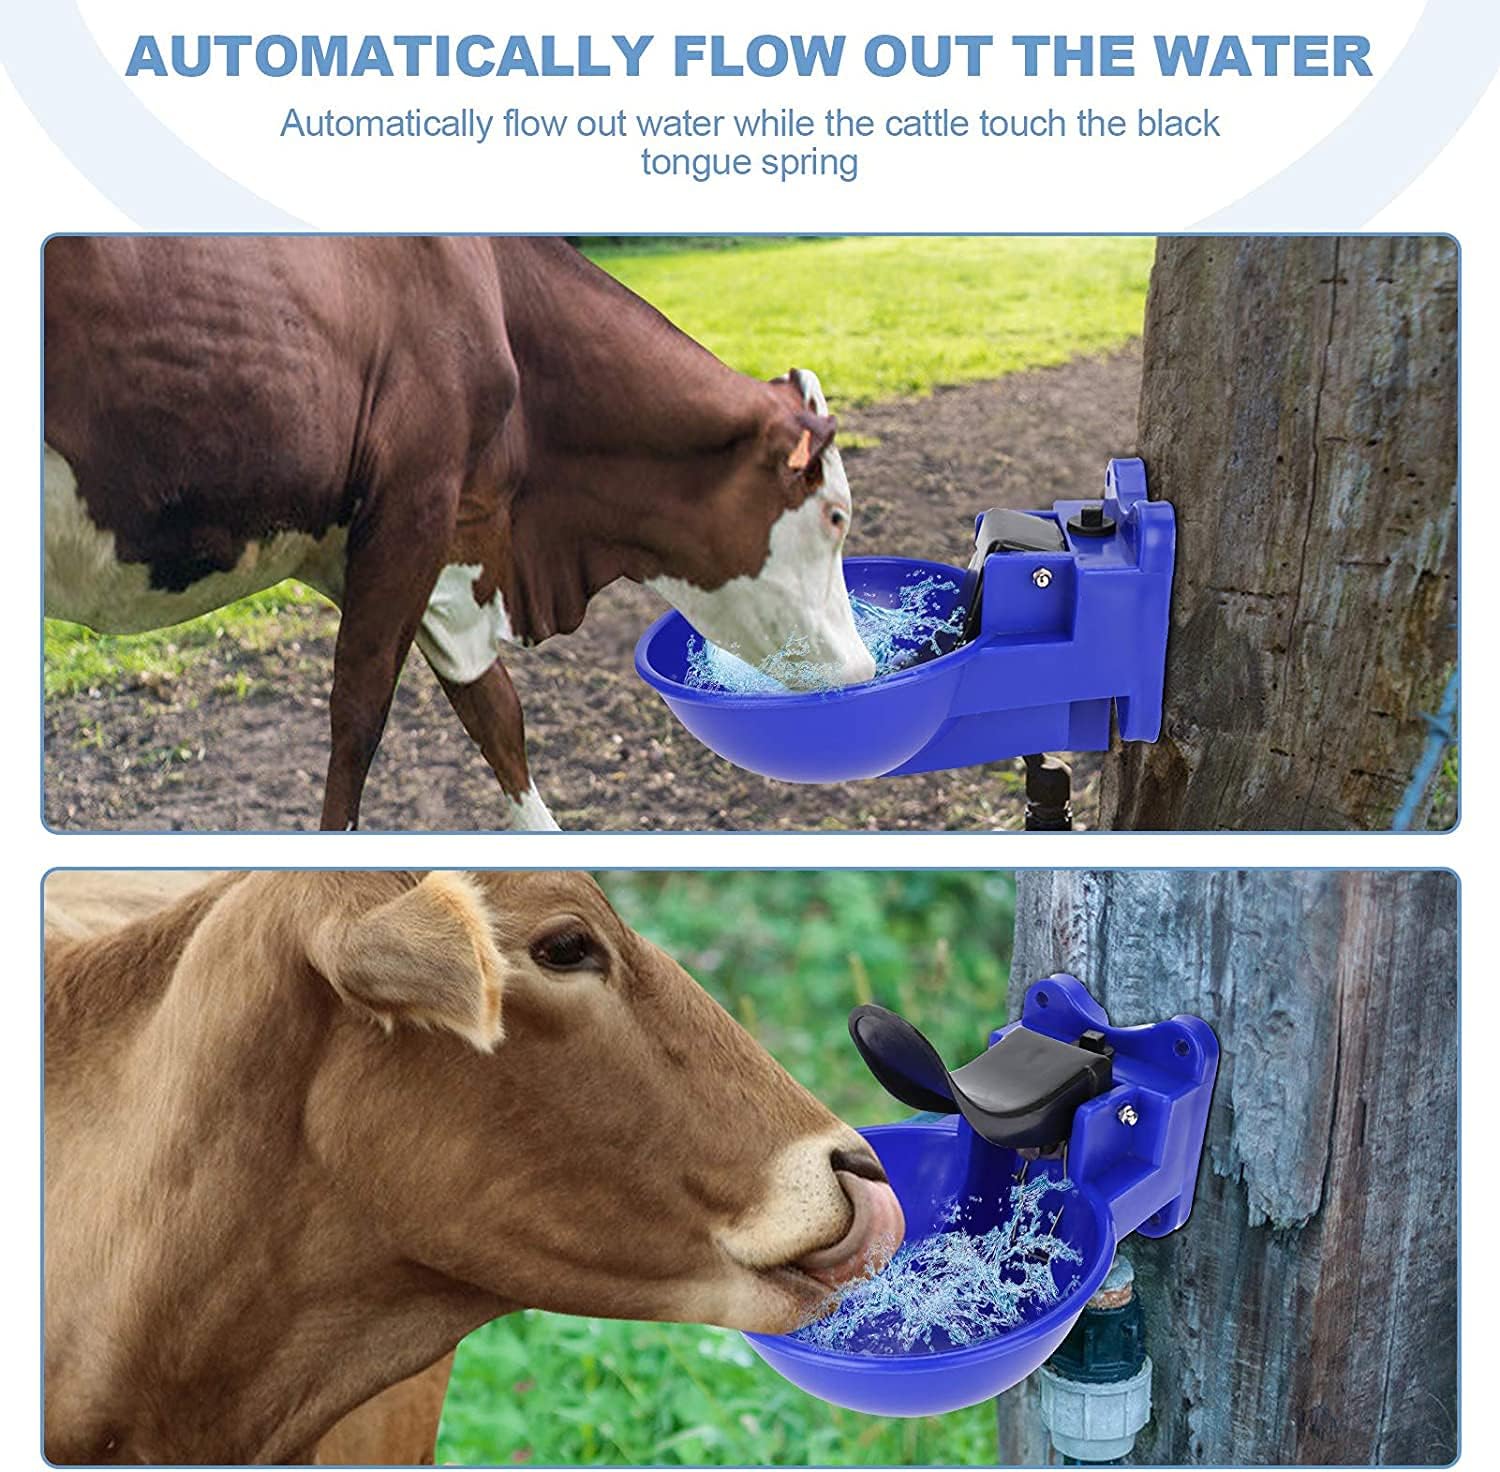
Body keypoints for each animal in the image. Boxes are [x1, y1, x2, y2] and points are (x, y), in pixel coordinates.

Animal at [44, 237, 875, 831]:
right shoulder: (413, 504)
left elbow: (495, 715)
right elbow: (359, 718)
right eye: (836, 516)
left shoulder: (445, 541)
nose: (867, 670)